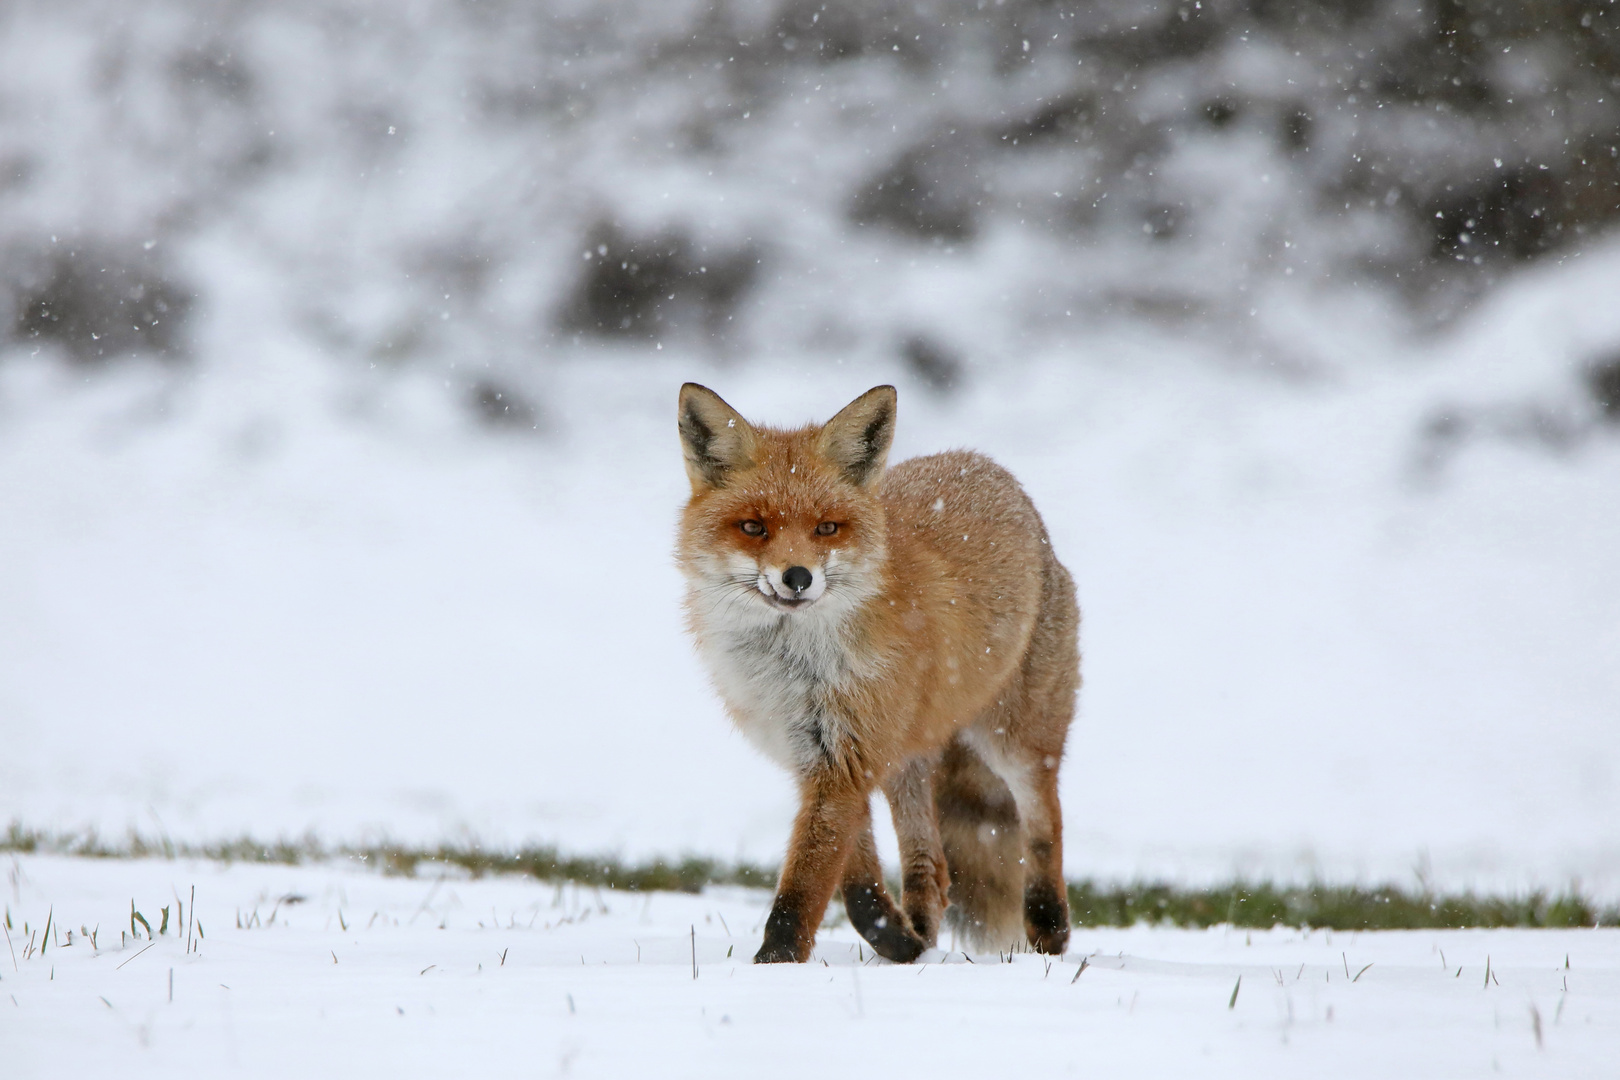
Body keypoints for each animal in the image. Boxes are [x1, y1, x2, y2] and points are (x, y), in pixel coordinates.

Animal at [677, 382, 1082, 965]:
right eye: (753, 527)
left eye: (826, 527)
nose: (797, 577)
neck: (793, 672)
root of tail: (990, 468)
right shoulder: (820, 758)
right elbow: (856, 884)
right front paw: (896, 940)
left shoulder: (845, 760)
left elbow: (804, 885)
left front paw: (773, 965)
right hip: (905, 763)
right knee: (932, 867)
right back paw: (921, 940)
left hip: (1014, 740)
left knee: (1045, 820)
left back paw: (1050, 930)